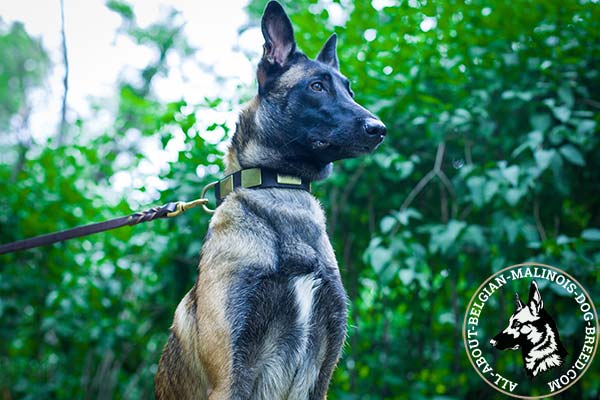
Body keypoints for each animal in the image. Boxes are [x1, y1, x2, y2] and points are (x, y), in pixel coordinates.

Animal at [155, 1, 386, 398]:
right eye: (317, 86)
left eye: (350, 92)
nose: (379, 129)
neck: (282, 190)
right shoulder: (230, 377)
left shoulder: (321, 376)